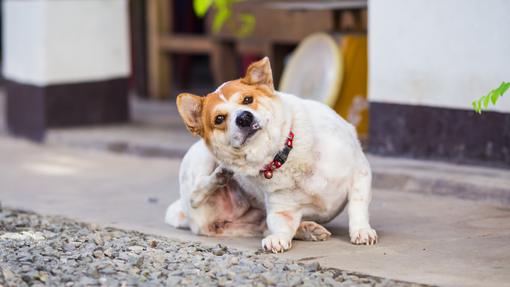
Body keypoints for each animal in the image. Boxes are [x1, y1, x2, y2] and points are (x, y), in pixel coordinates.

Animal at [165, 57, 376, 253]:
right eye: (219, 119)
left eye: (248, 100)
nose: (244, 118)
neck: (281, 155)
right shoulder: (282, 212)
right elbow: (281, 228)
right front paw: (279, 238)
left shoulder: (360, 172)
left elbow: (357, 206)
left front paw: (361, 230)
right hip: (200, 159)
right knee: (195, 193)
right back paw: (219, 177)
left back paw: (307, 230)